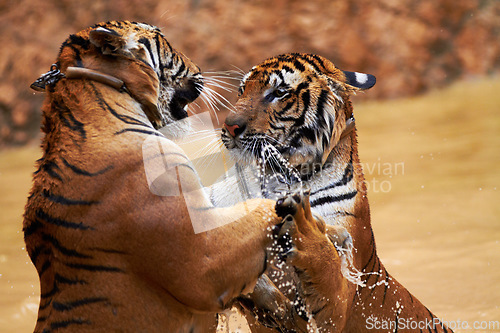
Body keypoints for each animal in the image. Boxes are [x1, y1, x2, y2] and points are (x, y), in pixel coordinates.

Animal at [215, 53, 454, 330]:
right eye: (242, 90)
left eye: (278, 93)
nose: (230, 126)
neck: (280, 177)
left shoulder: (338, 300)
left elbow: (326, 264)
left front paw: (304, 232)